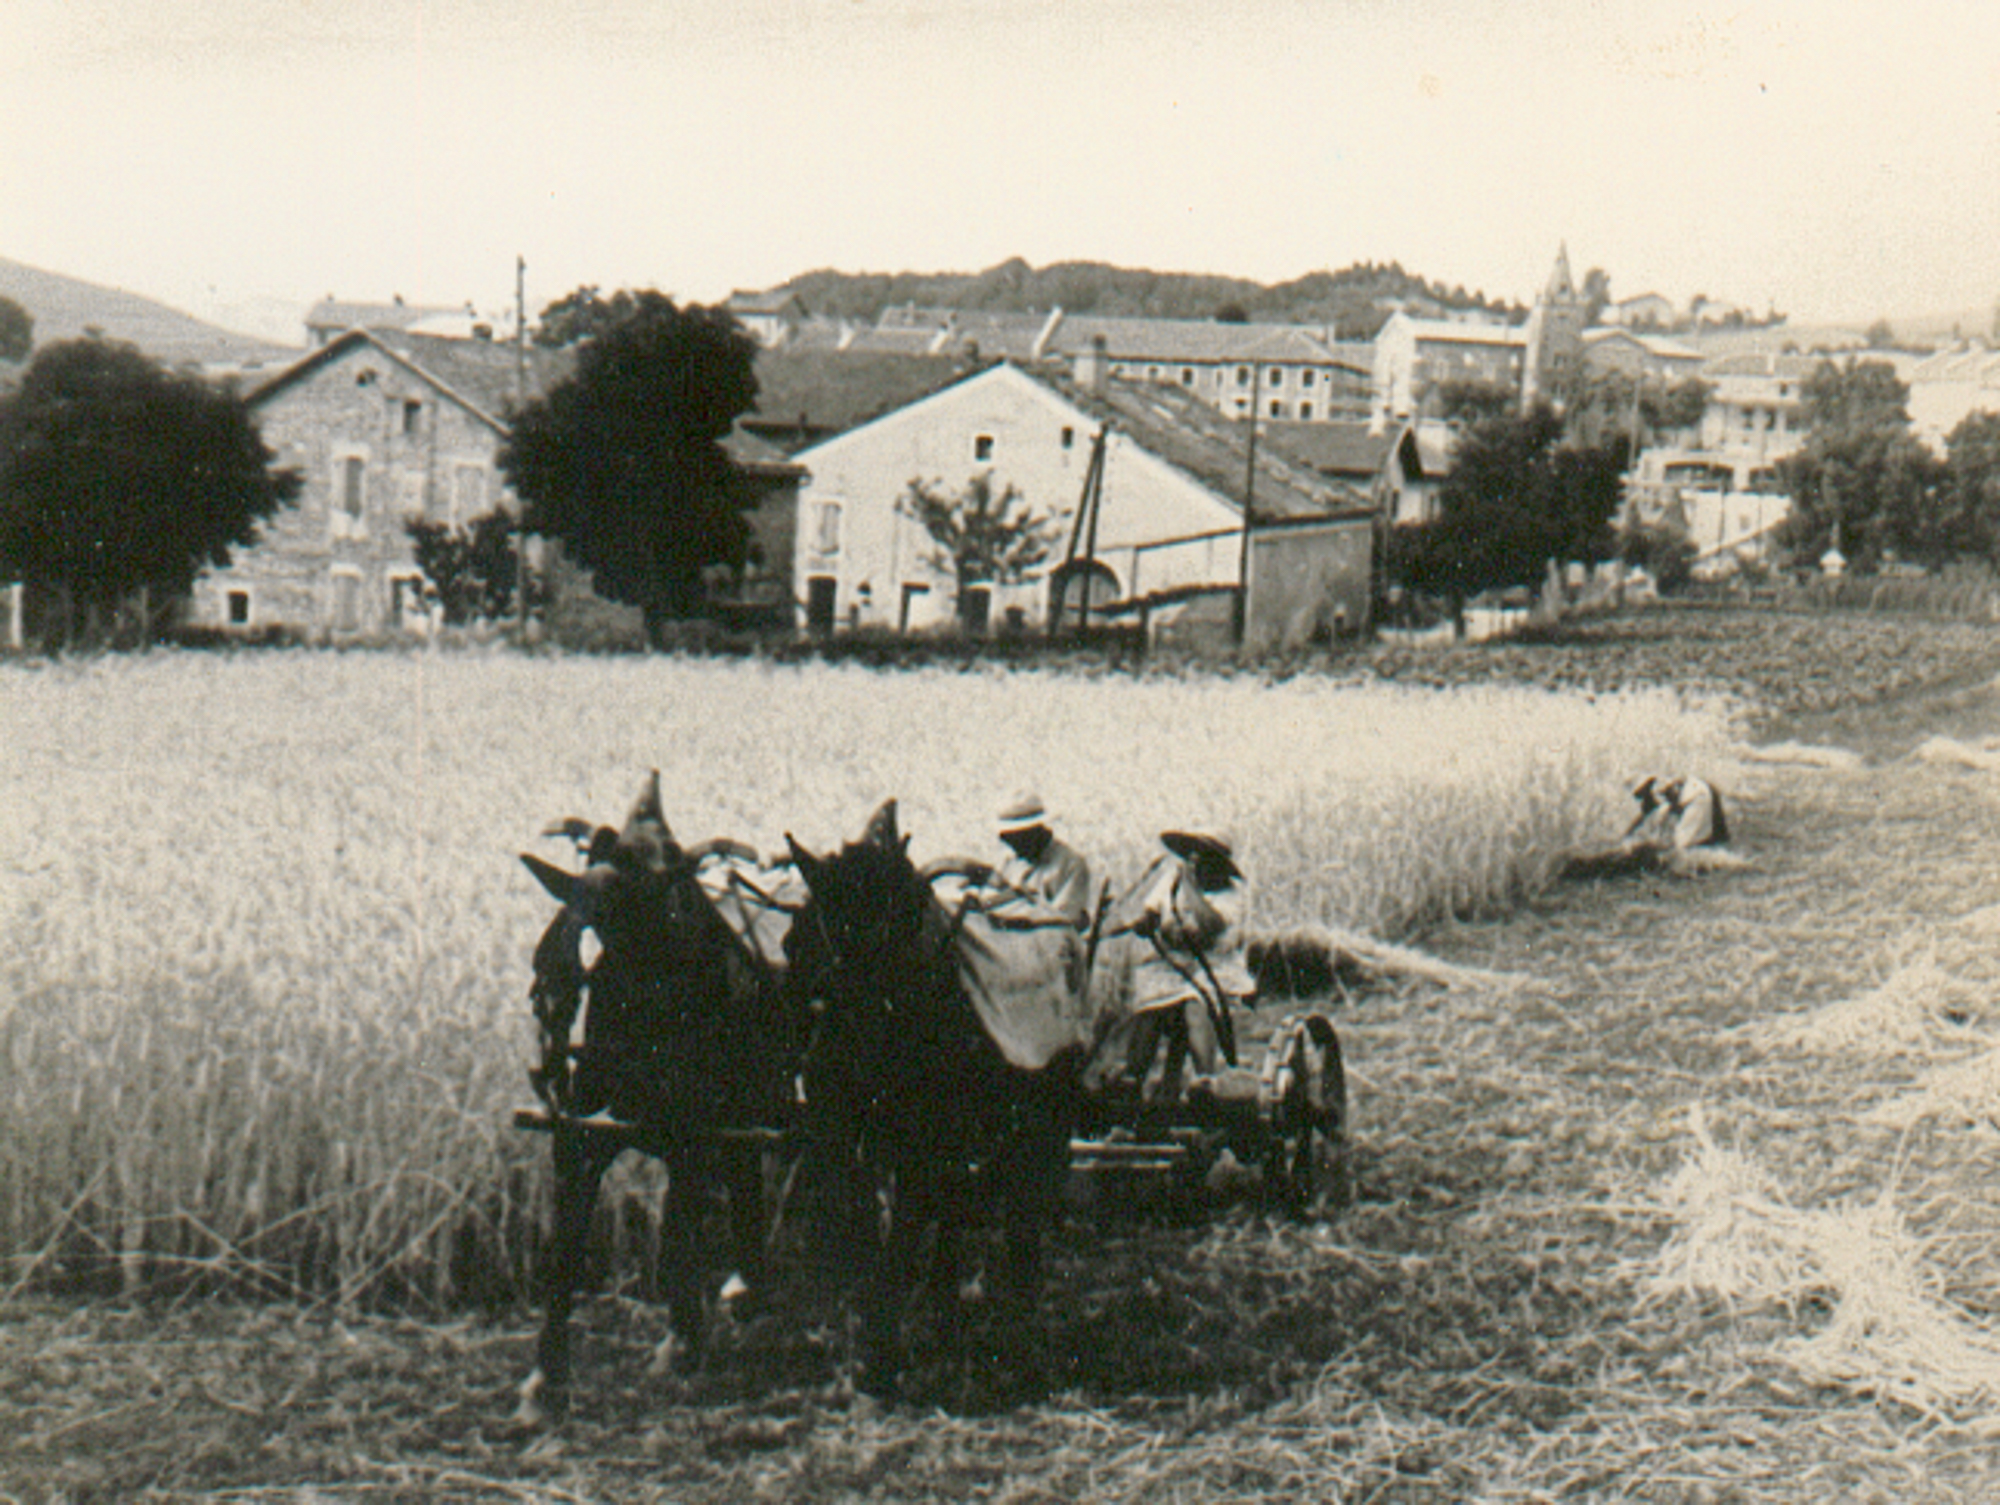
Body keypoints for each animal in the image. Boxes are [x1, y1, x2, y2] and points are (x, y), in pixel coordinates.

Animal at [516, 776, 796, 1424]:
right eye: (588, 870)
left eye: (671, 873)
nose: (552, 980)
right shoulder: (581, 1138)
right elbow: (564, 1251)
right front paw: (546, 1378)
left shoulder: (691, 1140)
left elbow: (676, 1239)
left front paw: (682, 1341)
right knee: (745, 1174)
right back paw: (748, 1287)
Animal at [784, 800, 1096, 1400]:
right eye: (795, 941)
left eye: (906, 921)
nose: (836, 1060)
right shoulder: (845, 1139)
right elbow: (864, 1225)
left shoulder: (926, 1146)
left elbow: (904, 1237)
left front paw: (880, 1359)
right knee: (953, 1213)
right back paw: (946, 1317)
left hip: (1039, 1124)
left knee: (1021, 1213)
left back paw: (1020, 1326)